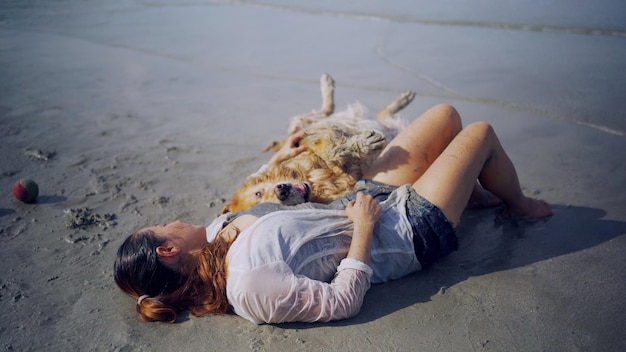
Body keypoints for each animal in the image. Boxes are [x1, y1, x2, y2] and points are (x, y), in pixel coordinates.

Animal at [219, 73, 414, 213]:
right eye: (270, 207)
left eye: (258, 193)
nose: (281, 192)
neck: (313, 182)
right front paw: (363, 144)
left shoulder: (307, 140)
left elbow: (330, 149)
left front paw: (361, 144)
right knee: (382, 116)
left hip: (302, 122)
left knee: (326, 111)